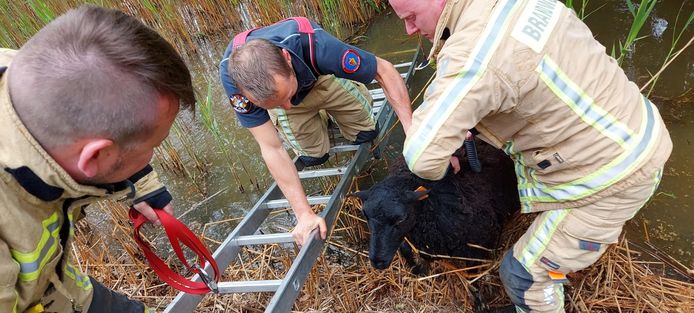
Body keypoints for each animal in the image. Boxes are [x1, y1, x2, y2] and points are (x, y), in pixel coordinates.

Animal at [356, 140, 520, 270]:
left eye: (401, 218)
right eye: (365, 215)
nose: (378, 263)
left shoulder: (477, 247)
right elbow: (406, 250)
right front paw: (417, 269)